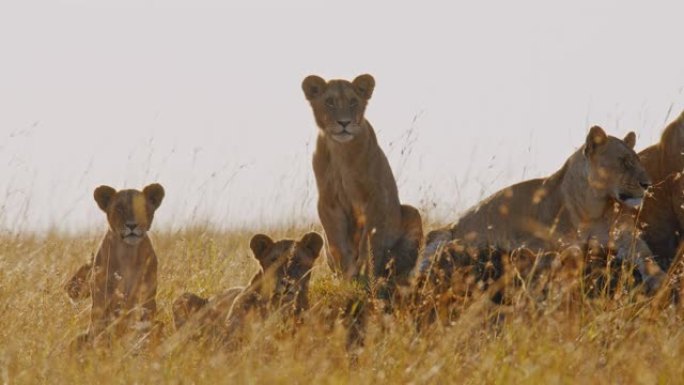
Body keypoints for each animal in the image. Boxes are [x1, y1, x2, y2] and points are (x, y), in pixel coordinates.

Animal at [65, 182, 166, 346]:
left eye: (141, 207)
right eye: (119, 208)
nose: (132, 225)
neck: (128, 253)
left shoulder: (147, 294)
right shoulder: (101, 293)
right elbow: (100, 324)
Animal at [170, 231, 322, 344]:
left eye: (297, 261)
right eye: (274, 261)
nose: (286, 282)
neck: (278, 305)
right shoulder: (228, 336)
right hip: (182, 298)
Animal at [304, 73, 424, 294]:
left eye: (353, 101)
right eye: (329, 102)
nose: (344, 122)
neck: (341, 150)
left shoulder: (375, 197)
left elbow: (370, 242)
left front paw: (363, 273)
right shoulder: (327, 201)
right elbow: (338, 244)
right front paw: (347, 277)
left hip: (411, 212)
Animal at [420, 125, 664, 294]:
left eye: (637, 160)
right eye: (623, 162)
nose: (647, 184)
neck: (593, 208)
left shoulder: (626, 236)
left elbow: (646, 256)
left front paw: (659, 279)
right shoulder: (536, 242)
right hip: (441, 236)